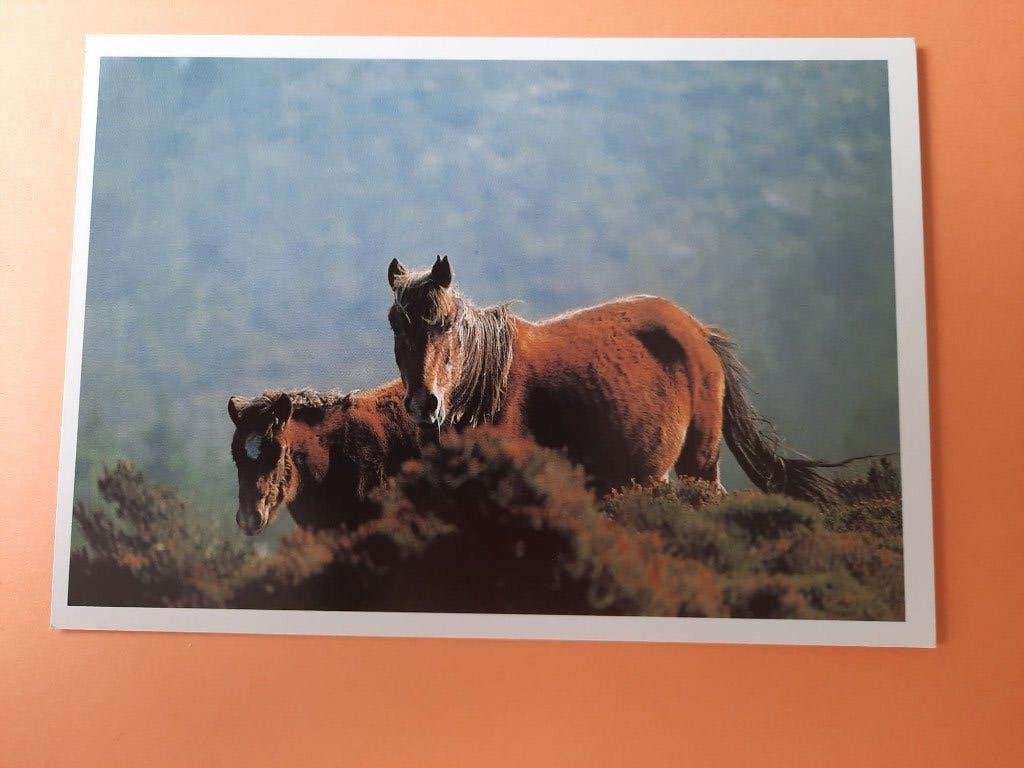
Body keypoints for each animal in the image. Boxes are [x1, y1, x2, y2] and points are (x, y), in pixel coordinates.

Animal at [386, 255, 838, 502]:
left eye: (446, 323)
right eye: (395, 323)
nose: (424, 403)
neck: (490, 388)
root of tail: (696, 330)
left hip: (701, 460)